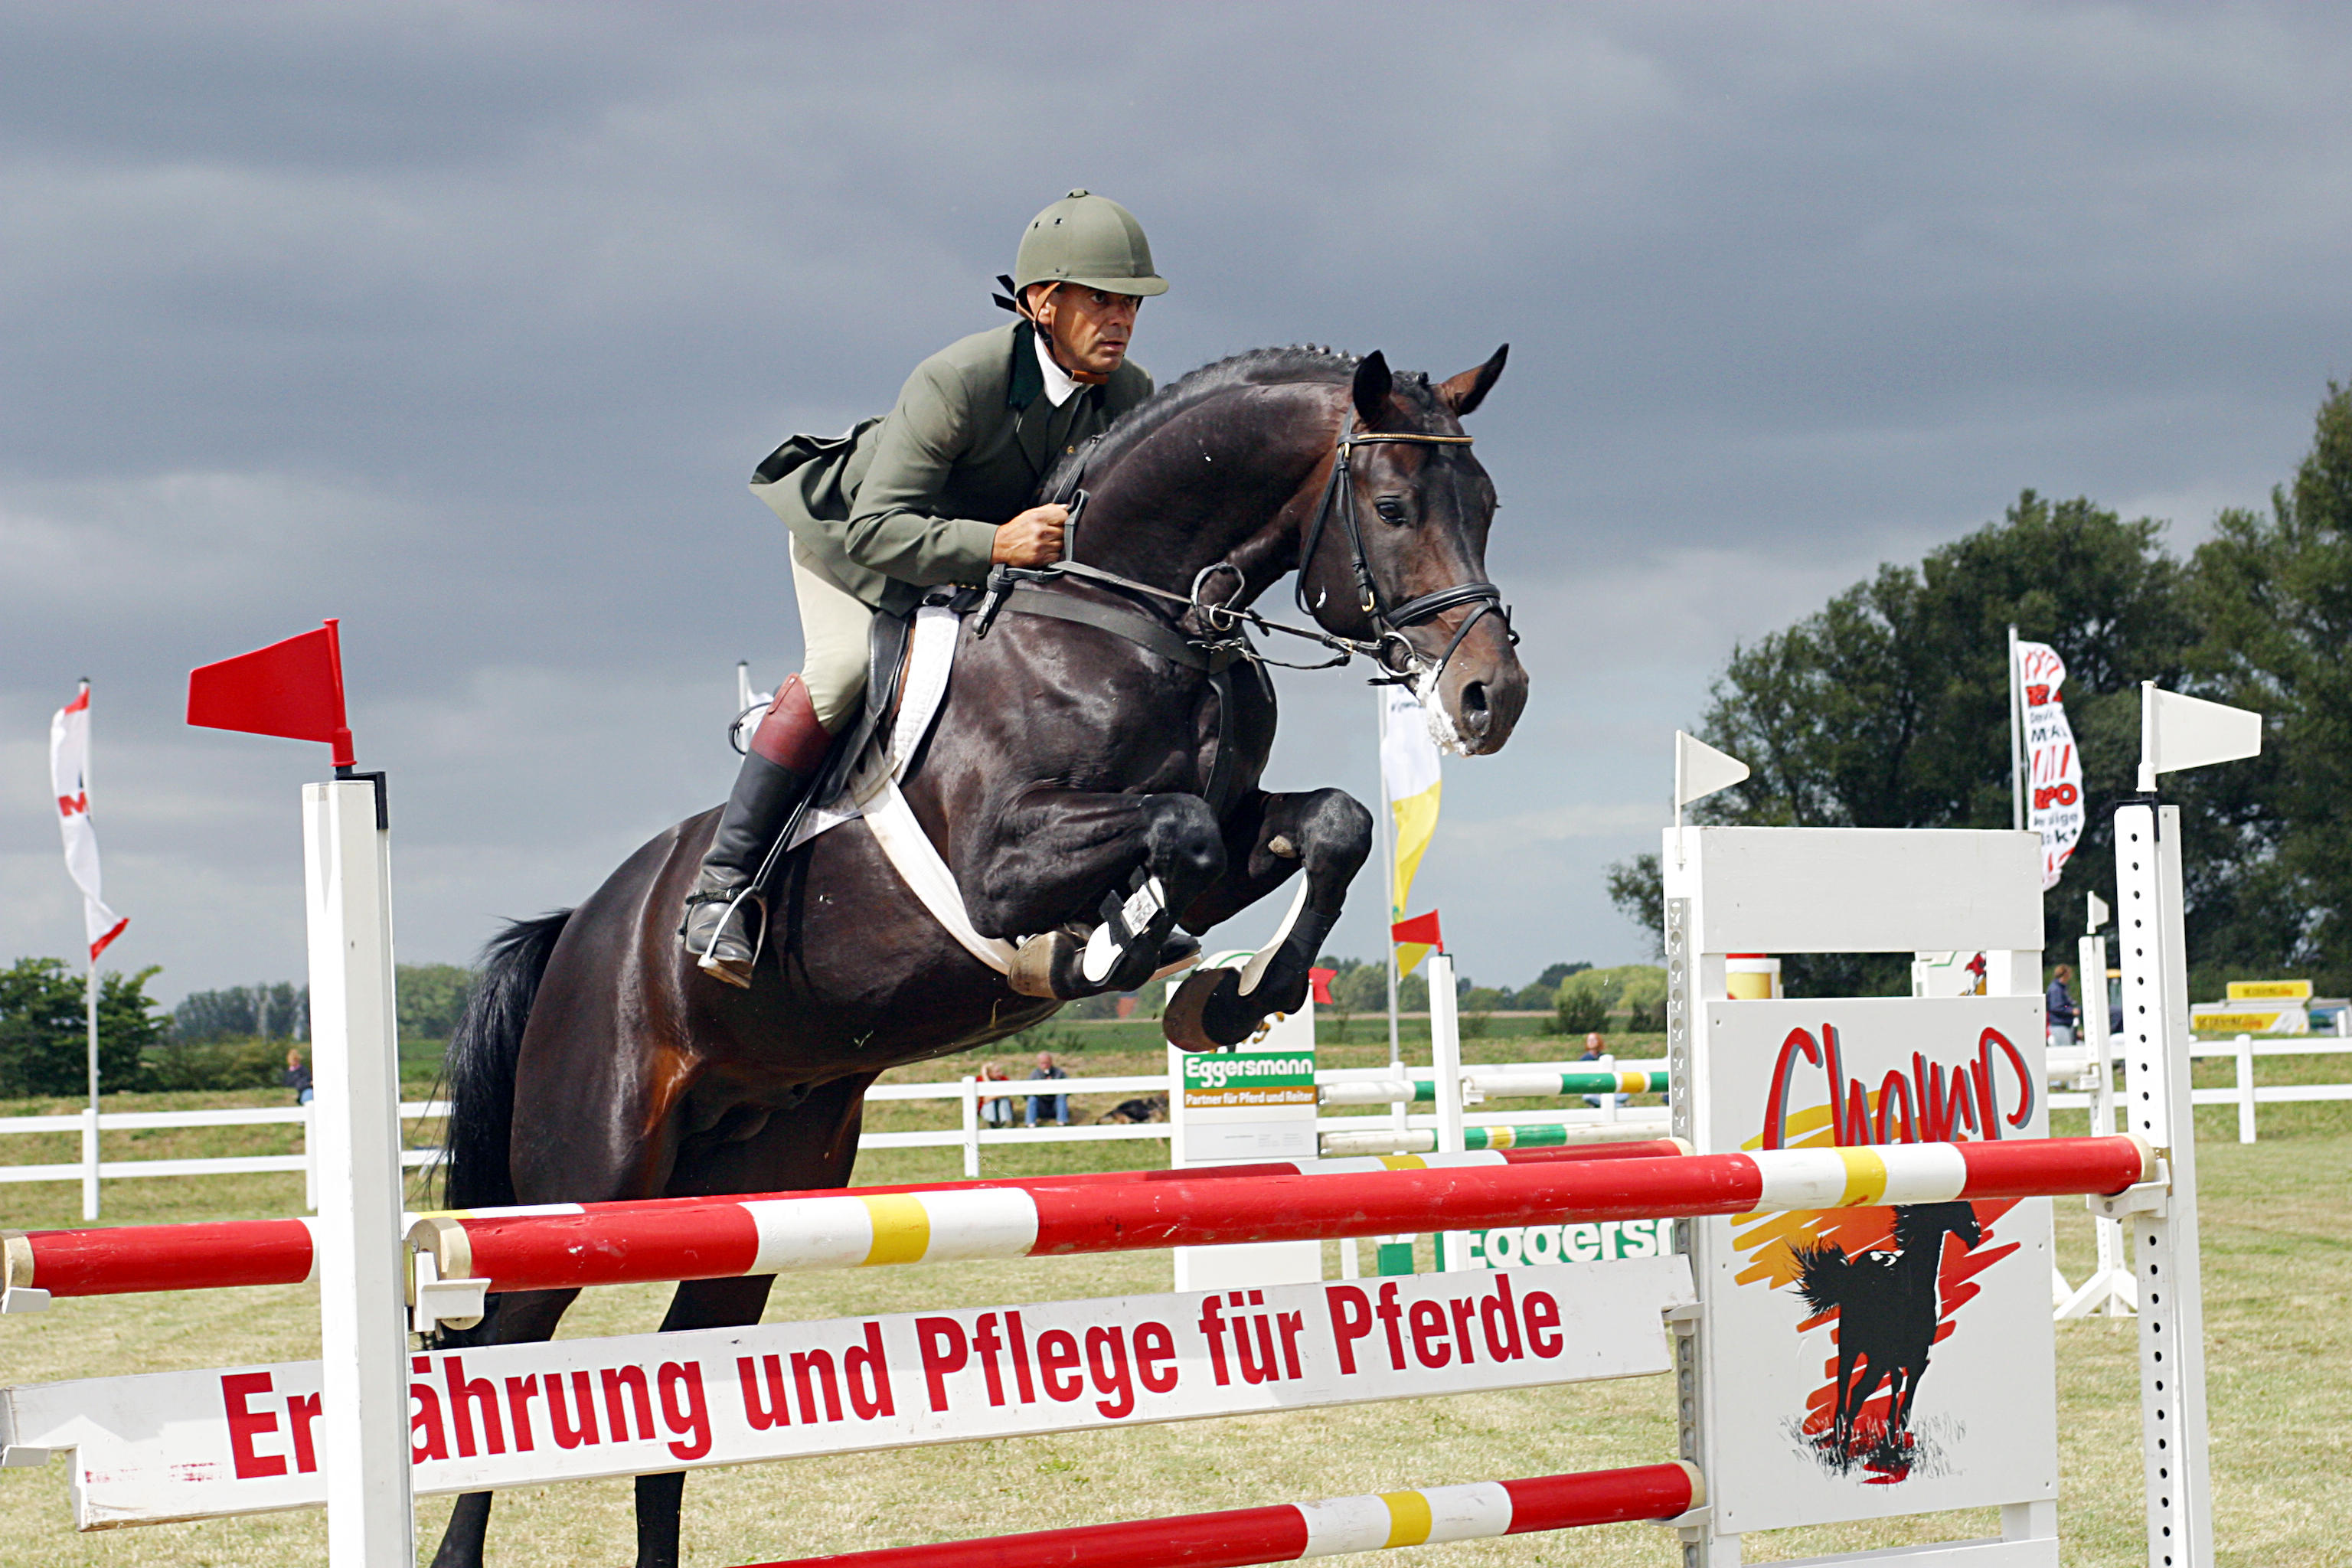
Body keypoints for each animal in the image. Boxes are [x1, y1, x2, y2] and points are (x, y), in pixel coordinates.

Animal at [423, 345, 1524, 1568]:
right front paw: (1117, 947)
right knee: (502, 1359)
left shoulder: (1243, 824)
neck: (1131, 614)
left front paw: (1229, 1000)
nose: (1491, 698)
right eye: (1393, 508)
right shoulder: (1004, 862)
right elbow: (1179, 829)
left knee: (679, 1381)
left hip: (758, 1188)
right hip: (591, 1176)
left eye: (1487, 506)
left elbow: (1330, 822)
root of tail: (578, 928)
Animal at [1797, 1204, 1984, 1457]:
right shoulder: (1885, 1357)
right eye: (1952, 1205)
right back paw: (1840, 1444)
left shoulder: (1918, 1362)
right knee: (1846, 1387)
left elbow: (1905, 1408)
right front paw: (1852, 1449)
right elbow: (1866, 1393)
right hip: (1852, 1347)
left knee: (1880, 1389)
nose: (1976, 1233)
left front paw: (1895, 1449)